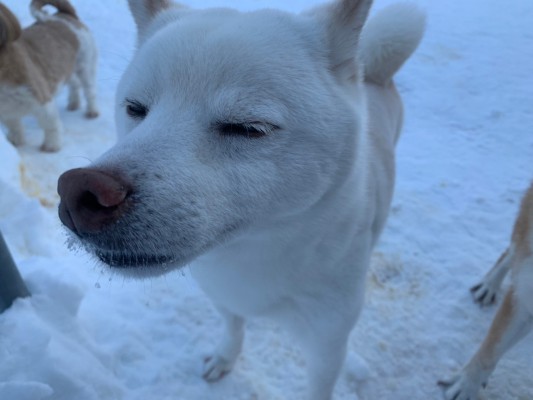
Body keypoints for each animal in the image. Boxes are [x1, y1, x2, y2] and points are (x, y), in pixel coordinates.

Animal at [0, 0, 97, 152]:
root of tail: (64, 15)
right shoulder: (6, 110)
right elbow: (14, 126)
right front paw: (16, 140)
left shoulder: (40, 98)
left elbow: (50, 124)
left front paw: (52, 145)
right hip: (66, 67)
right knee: (74, 83)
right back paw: (74, 103)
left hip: (85, 65)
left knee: (89, 90)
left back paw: (92, 111)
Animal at [57, 1, 424, 398]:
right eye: (135, 108)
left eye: (248, 127)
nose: (78, 193)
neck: (253, 254)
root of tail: (373, 72)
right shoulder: (223, 297)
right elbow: (234, 329)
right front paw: (224, 359)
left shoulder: (327, 345)